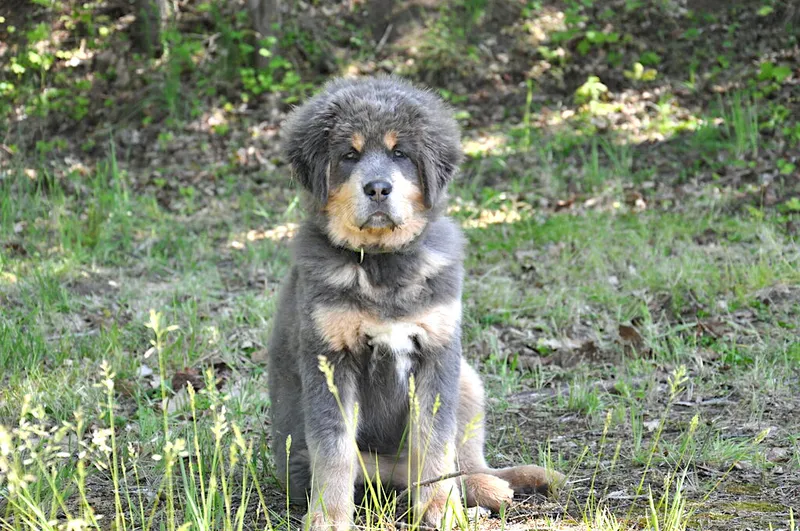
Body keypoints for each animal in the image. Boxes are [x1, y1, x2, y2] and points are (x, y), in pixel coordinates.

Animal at [267, 76, 564, 531]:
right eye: (349, 155)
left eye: (399, 153)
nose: (377, 188)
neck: (382, 263)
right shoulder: (329, 360)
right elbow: (333, 451)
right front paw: (328, 519)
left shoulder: (438, 353)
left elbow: (436, 442)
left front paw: (442, 510)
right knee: (381, 470)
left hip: (468, 380)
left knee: (463, 458)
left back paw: (488, 485)